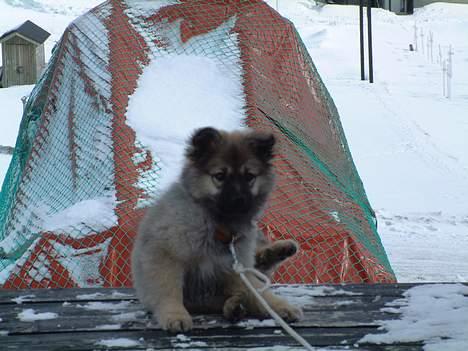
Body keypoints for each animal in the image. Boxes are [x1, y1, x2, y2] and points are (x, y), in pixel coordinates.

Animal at [131, 127, 304, 332]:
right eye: (220, 176)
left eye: (249, 177)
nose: (239, 200)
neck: (217, 224)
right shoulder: (164, 254)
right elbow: (168, 290)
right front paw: (174, 314)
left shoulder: (235, 265)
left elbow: (257, 292)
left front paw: (276, 306)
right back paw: (235, 306)